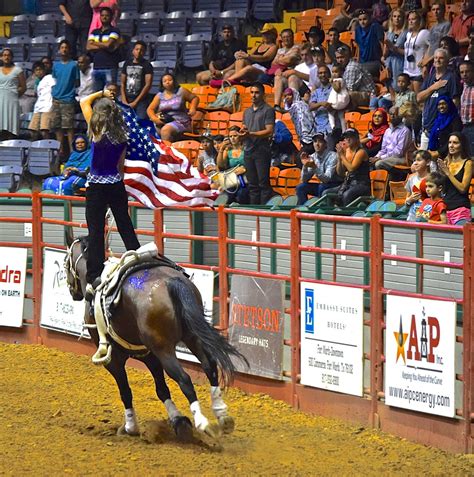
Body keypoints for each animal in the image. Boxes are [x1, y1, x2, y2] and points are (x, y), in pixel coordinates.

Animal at [64, 234, 246, 438]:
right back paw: (222, 415)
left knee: (184, 378)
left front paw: (130, 426)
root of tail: (170, 282)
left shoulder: (114, 360)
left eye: (66, 263)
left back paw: (203, 422)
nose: (73, 292)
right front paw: (178, 420)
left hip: (164, 349)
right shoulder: (149, 355)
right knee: (210, 366)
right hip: (192, 337)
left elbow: (125, 390)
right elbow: (161, 388)